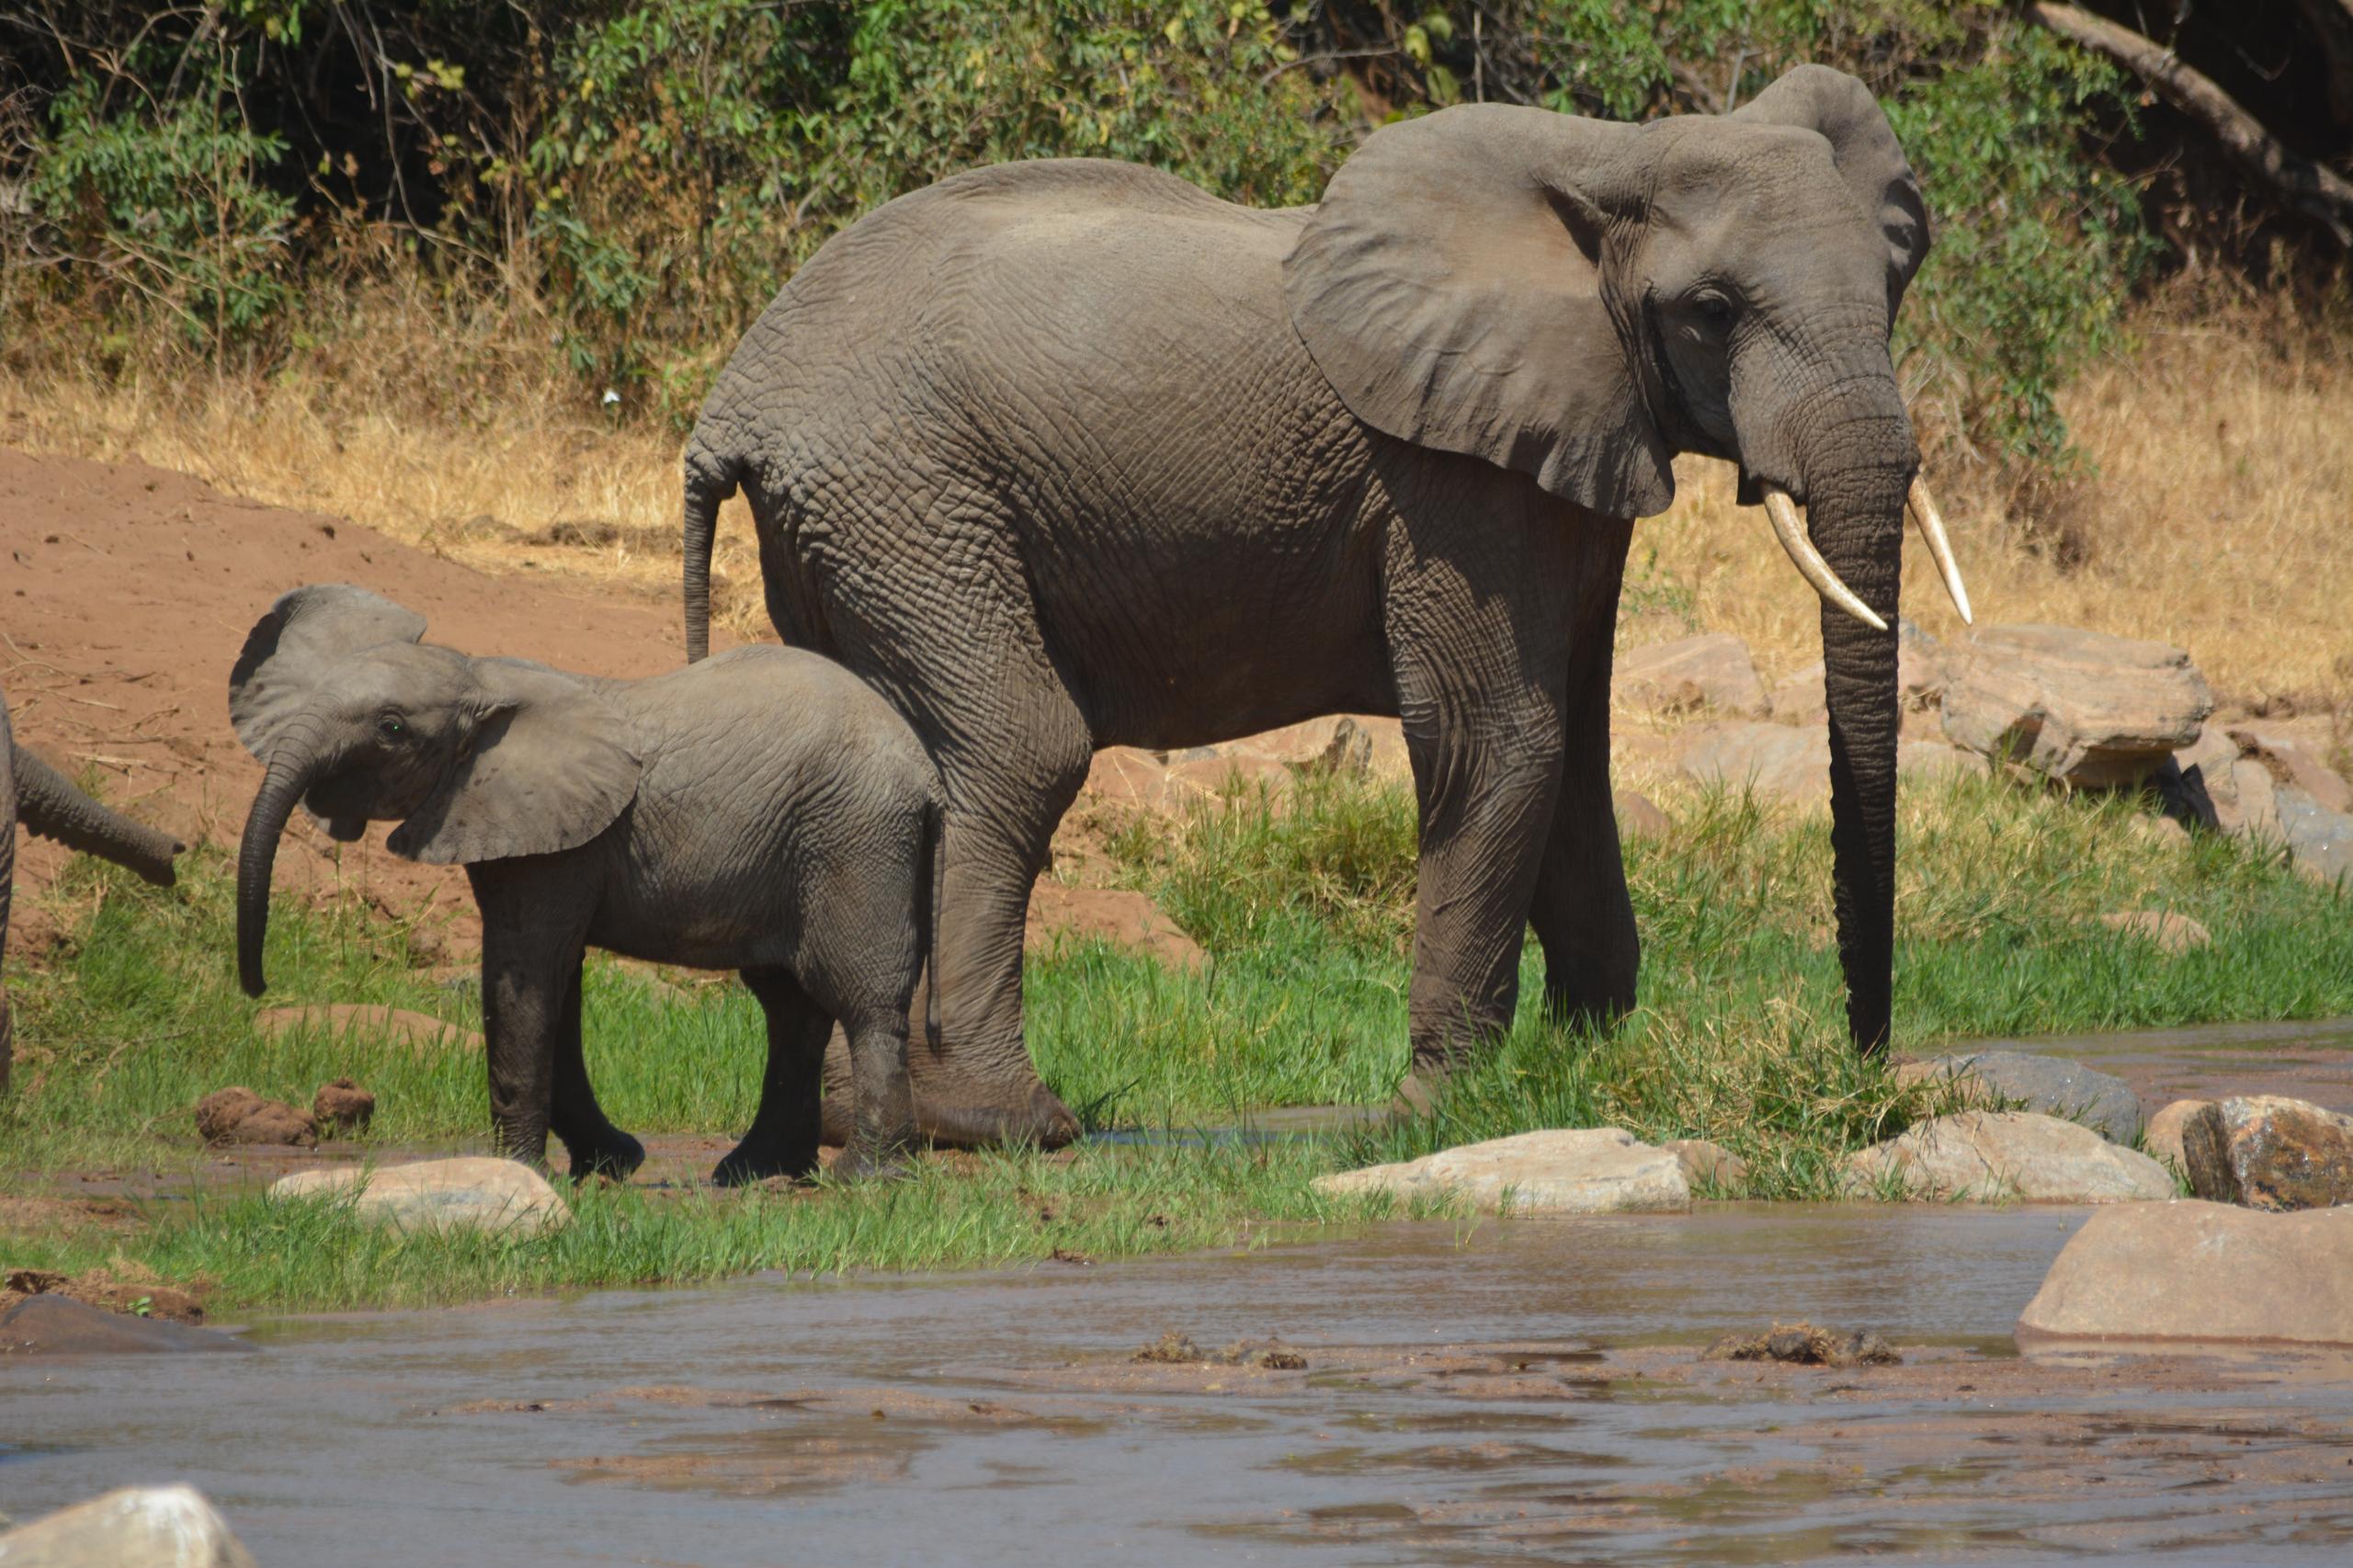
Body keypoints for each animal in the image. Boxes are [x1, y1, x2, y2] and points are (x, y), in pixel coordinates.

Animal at [229, 584, 941, 1183]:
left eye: (392, 730)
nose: (257, 988)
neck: (478, 675)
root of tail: (927, 775)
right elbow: (555, 984)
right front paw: (606, 1165)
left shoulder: (555, 839)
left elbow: (523, 977)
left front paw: (524, 1172)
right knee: (791, 1006)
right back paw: (755, 1173)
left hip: (855, 838)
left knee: (861, 998)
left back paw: (861, 1178)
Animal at [678, 64, 1974, 1149]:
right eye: (1711, 310)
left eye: (1891, 286)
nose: (1864, 1072)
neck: (1612, 157)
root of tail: (731, 398)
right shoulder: (1449, 477)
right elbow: (1501, 737)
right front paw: (1438, 1113)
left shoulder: (1568, 444)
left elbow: (1578, 745)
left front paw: (1590, 1066)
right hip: (909, 498)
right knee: (1018, 746)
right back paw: (1008, 1122)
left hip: (855, 527)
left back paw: (858, 1119)